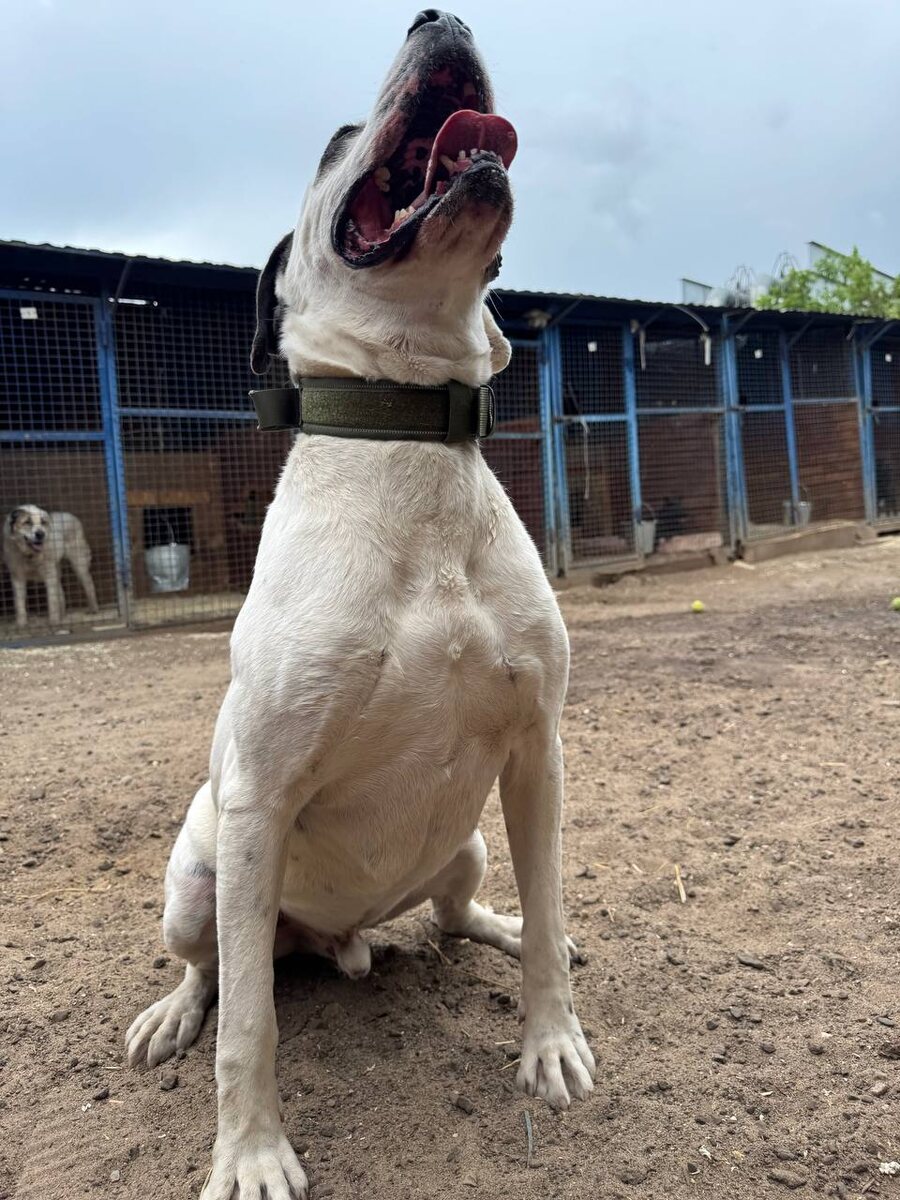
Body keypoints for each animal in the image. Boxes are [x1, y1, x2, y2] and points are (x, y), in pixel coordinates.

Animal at [126, 12, 594, 1198]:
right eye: (338, 137)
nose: (440, 17)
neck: (409, 430)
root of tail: (337, 939)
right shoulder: (259, 800)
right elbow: (250, 1026)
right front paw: (250, 1153)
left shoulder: (537, 752)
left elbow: (551, 903)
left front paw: (551, 1040)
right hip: (198, 883)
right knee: (219, 974)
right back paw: (172, 1014)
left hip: (467, 842)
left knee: (462, 911)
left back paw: (508, 932)